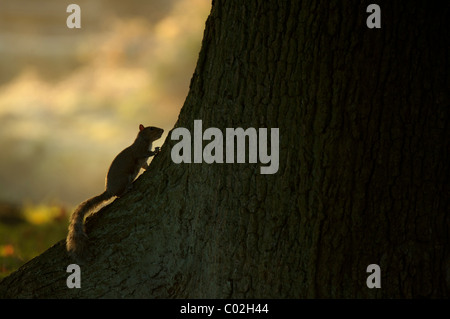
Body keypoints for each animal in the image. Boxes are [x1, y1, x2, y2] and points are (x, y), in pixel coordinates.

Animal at [66, 124, 164, 262]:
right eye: (151, 128)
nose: (162, 130)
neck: (145, 141)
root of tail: (109, 190)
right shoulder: (139, 151)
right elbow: (144, 154)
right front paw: (155, 150)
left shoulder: (143, 161)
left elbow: (145, 165)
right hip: (124, 179)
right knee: (118, 194)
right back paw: (127, 189)